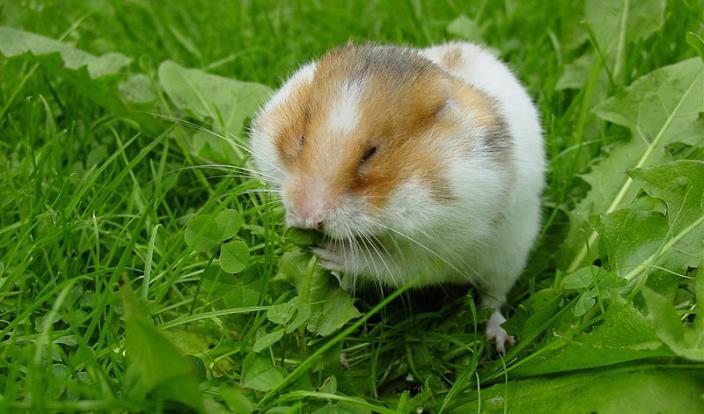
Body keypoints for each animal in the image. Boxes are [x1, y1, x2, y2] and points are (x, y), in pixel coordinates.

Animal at [249, 42, 545, 353]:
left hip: (509, 256)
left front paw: (330, 255)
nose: (307, 218)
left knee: (493, 300)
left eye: (370, 154)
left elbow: (390, 266)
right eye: (301, 138)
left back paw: (499, 341)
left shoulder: (441, 249)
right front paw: (291, 223)